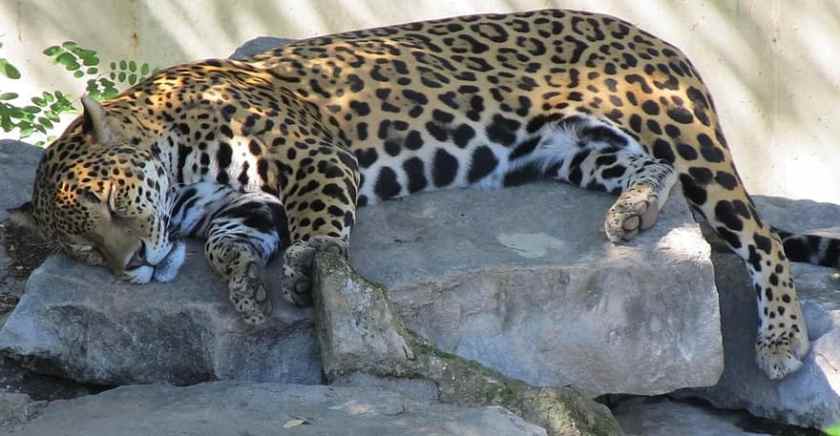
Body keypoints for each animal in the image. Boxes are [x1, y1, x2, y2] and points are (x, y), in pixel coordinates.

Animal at [9, 9, 840, 381]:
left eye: (107, 204)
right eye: (81, 243)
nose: (132, 266)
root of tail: (663, 39)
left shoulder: (316, 158)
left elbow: (319, 227)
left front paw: (311, 271)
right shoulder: (240, 206)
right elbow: (228, 243)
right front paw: (245, 288)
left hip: (677, 129)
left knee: (759, 235)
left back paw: (780, 341)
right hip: (576, 143)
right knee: (649, 171)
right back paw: (632, 212)